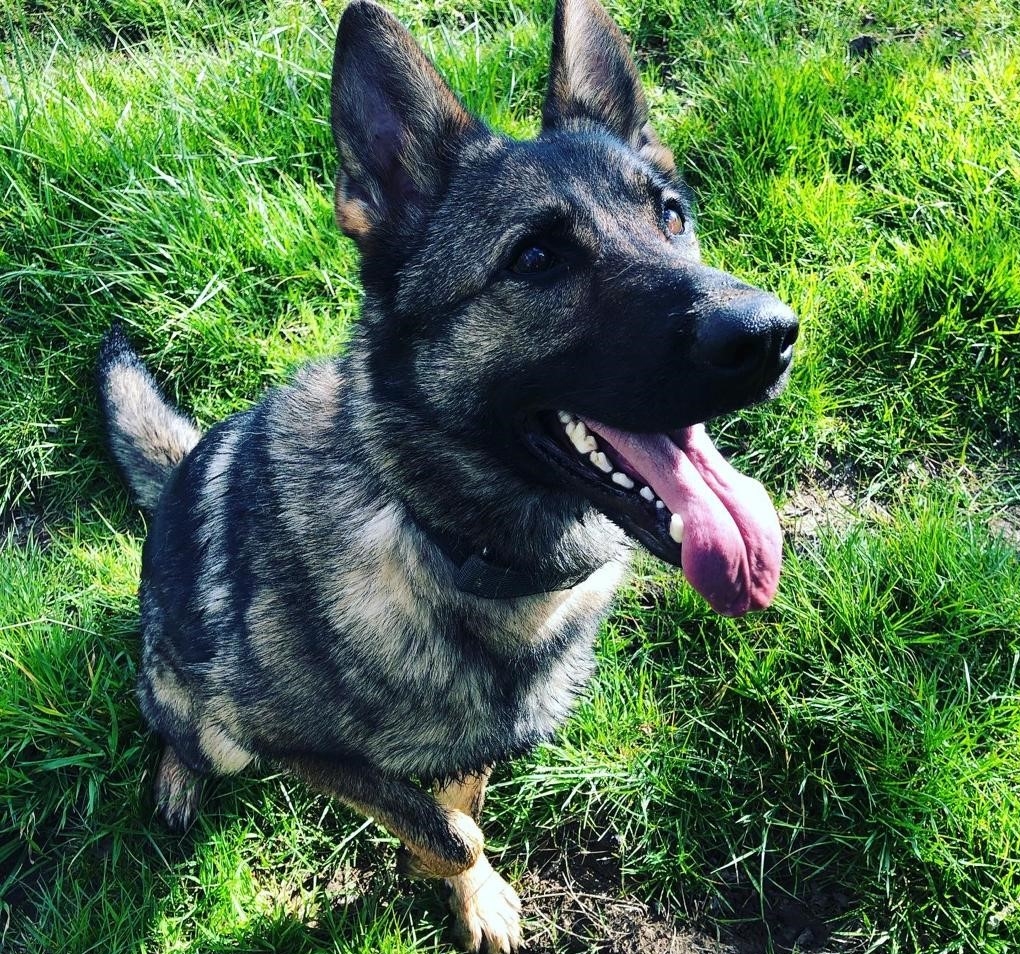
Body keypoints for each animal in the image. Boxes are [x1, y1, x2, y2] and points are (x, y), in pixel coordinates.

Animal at [95, 3, 795, 950]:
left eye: (672, 216)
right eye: (534, 259)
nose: (772, 333)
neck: (452, 544)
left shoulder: (478, 745)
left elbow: (461, 805)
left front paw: (473, 893)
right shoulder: (286, 740)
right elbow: (447, 830)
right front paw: (447, 871)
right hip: (199, 709)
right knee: (172, 718)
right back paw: (177, 776)